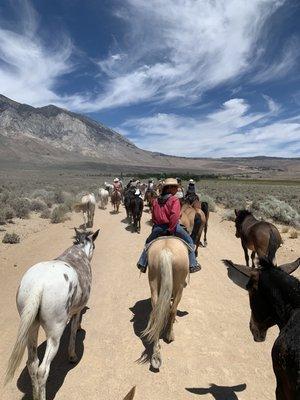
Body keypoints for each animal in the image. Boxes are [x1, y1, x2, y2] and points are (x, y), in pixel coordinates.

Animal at [4, 228, 99, 400]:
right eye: (94, 246)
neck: (79, 251)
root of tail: (38, 285)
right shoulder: (76, 310)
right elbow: (73, 331)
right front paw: (72, 355)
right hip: (55, 333)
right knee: (42, 370)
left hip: (31, 328)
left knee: (32, 364)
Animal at [142, 236, 189, 370]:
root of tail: (166, 251)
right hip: (179, 285)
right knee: (172, 309)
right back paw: (169, 334)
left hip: (153, 279)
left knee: (157, 312)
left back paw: (156, 354)